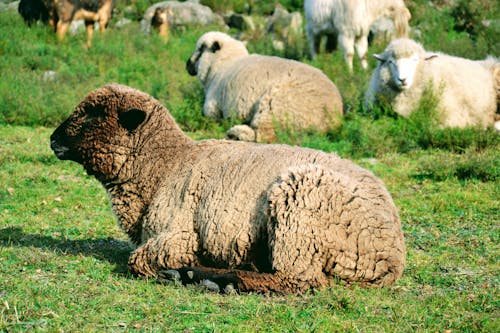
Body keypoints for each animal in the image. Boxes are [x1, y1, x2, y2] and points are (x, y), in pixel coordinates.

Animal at [49, 83, 406, 294]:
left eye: (93, 114)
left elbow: (137, 260)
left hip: (300, 213)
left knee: (298, 279)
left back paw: (211, 279)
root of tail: (391, 255)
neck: (163, 167)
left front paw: (177, 268)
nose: (53, 140)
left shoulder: (179, 234)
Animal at [186, 31, 346, 144]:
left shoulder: (212, 108)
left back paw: (236, 133)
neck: (224, 63)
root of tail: (334, 118)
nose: (187, 65)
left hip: (274, 107)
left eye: (200, 49)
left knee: (264, 136)